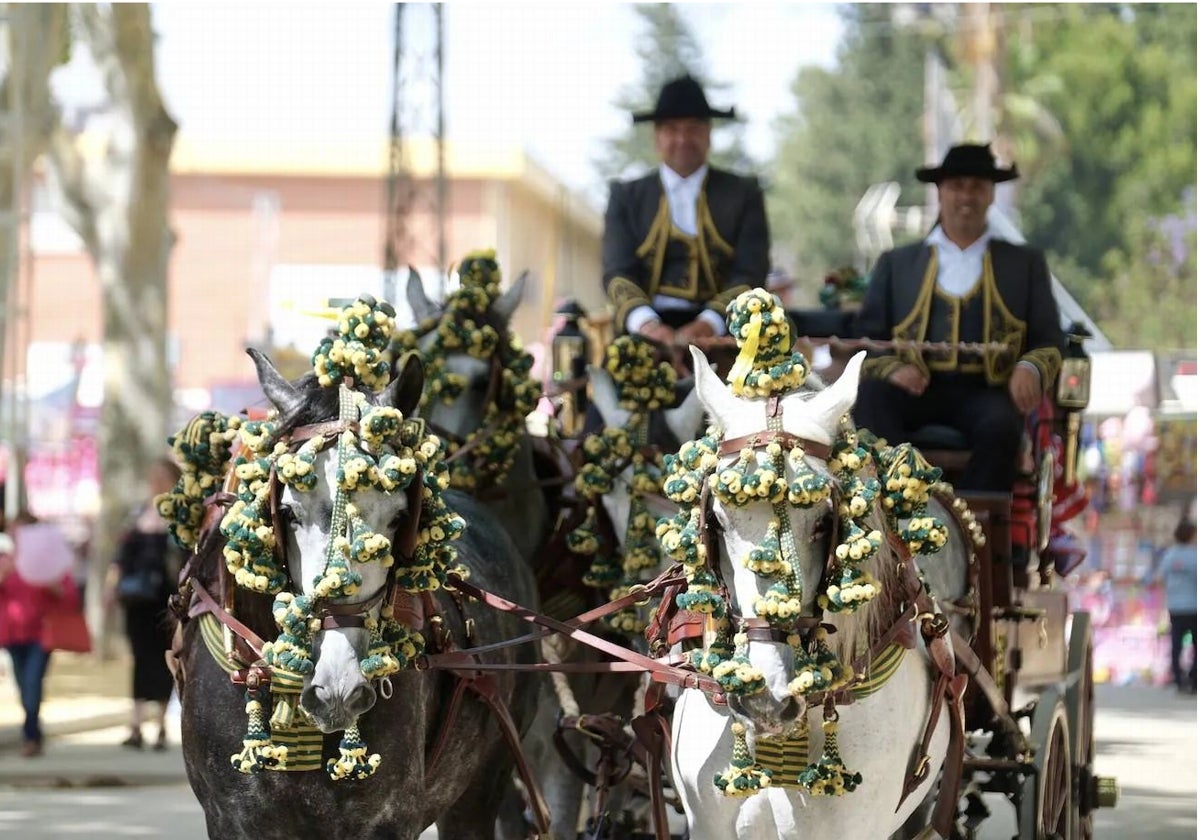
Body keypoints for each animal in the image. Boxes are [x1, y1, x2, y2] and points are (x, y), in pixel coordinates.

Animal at [171, 345, 542, 835]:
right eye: (287, 511)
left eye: (399, 516)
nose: (338, 686)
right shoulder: (230, 818)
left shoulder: (387, 819)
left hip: (484, 781)